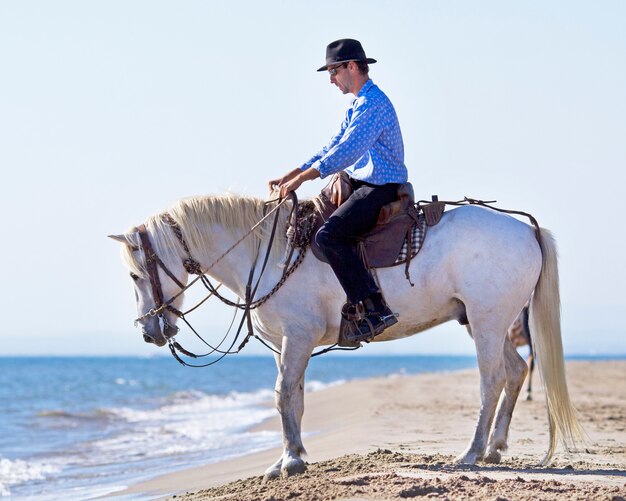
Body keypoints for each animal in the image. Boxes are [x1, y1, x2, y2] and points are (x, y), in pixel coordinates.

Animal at [109, 191, 584, 476]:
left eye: (134, 275)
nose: (150, 331)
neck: (269, 252)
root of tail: (526, 229)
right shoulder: (286, 345)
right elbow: (295, 398)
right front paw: (290, 458)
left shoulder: (298, 338)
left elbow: (283, 395)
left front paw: (291, 461)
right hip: (488, 323)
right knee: (516, 371)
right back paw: (494, 448)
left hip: (487, 321)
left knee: (492, 380)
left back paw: (470, 453)